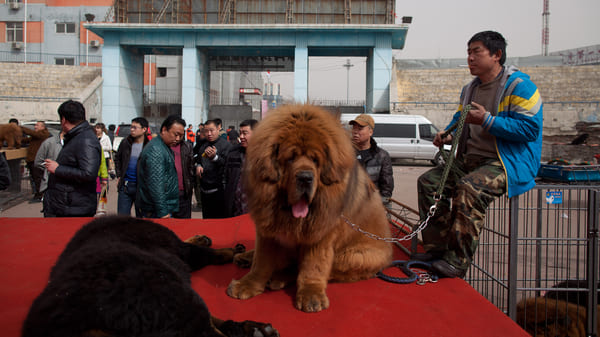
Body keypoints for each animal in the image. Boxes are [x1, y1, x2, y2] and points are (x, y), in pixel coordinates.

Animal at [226, 103, 394, 312]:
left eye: (315, 160)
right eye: (290, 158)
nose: (305, 178)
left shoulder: (321, 233)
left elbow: (313, 266)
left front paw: (311, 294)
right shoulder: (266, 228)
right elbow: (261, 260)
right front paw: (248, 283)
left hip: (355, 256)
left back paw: (278, 278)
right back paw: (247, 257)